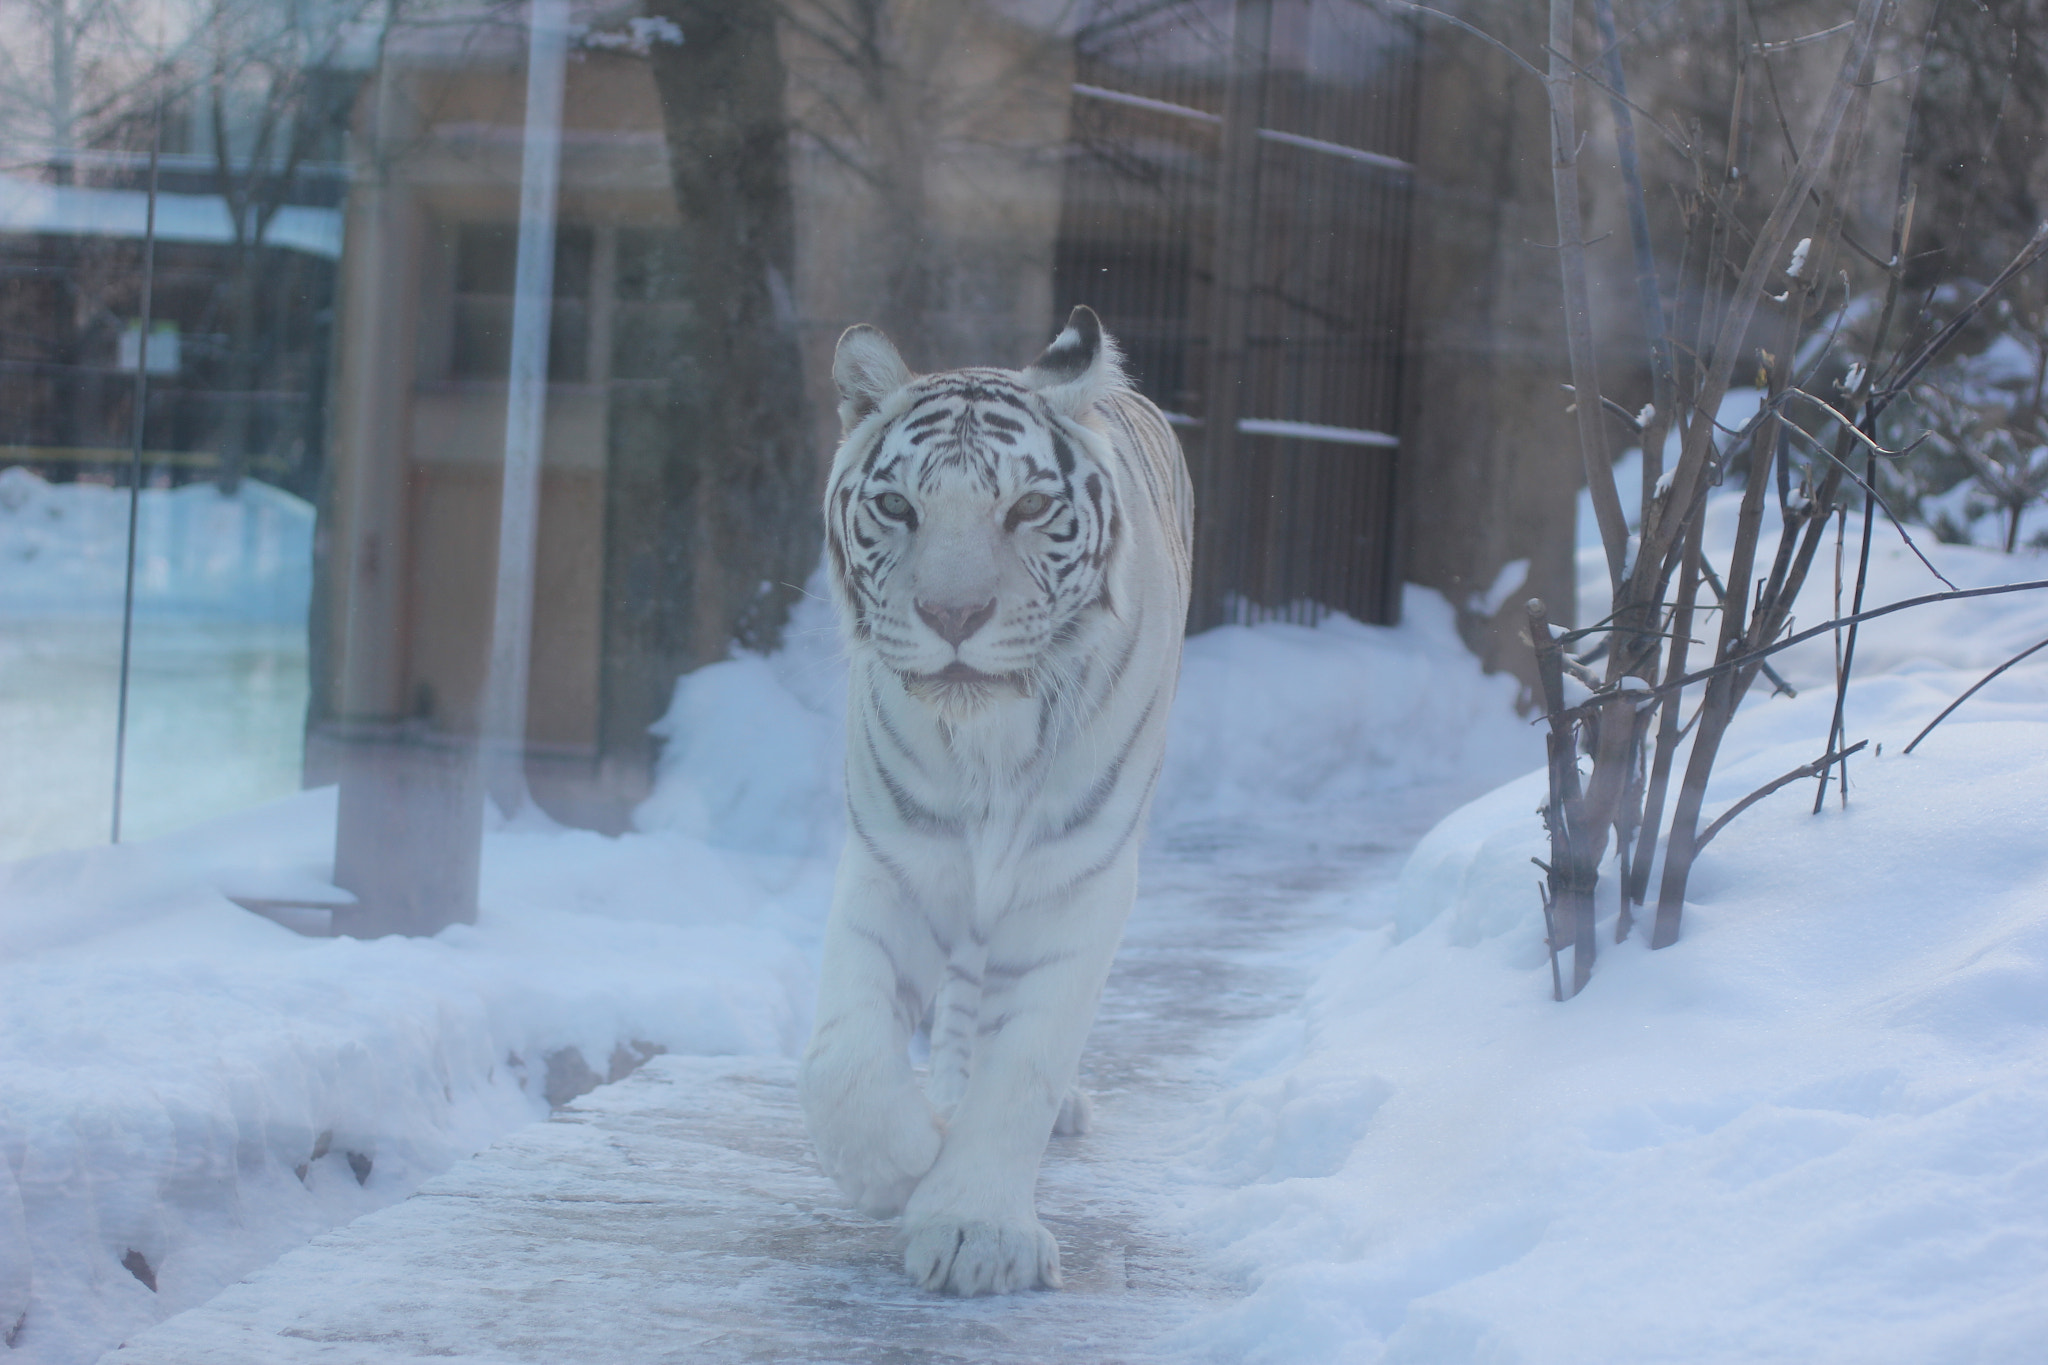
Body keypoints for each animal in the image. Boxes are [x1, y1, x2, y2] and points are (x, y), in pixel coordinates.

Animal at [794, 304, 1196, 1301]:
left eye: (1029, 508)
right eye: (898, 507)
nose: (952, 616)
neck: (988, 745)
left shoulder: (1076, 877)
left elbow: (1026, 1062)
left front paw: (975, 1229)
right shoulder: (898, 853)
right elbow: (843, 1057)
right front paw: (903, 1163)